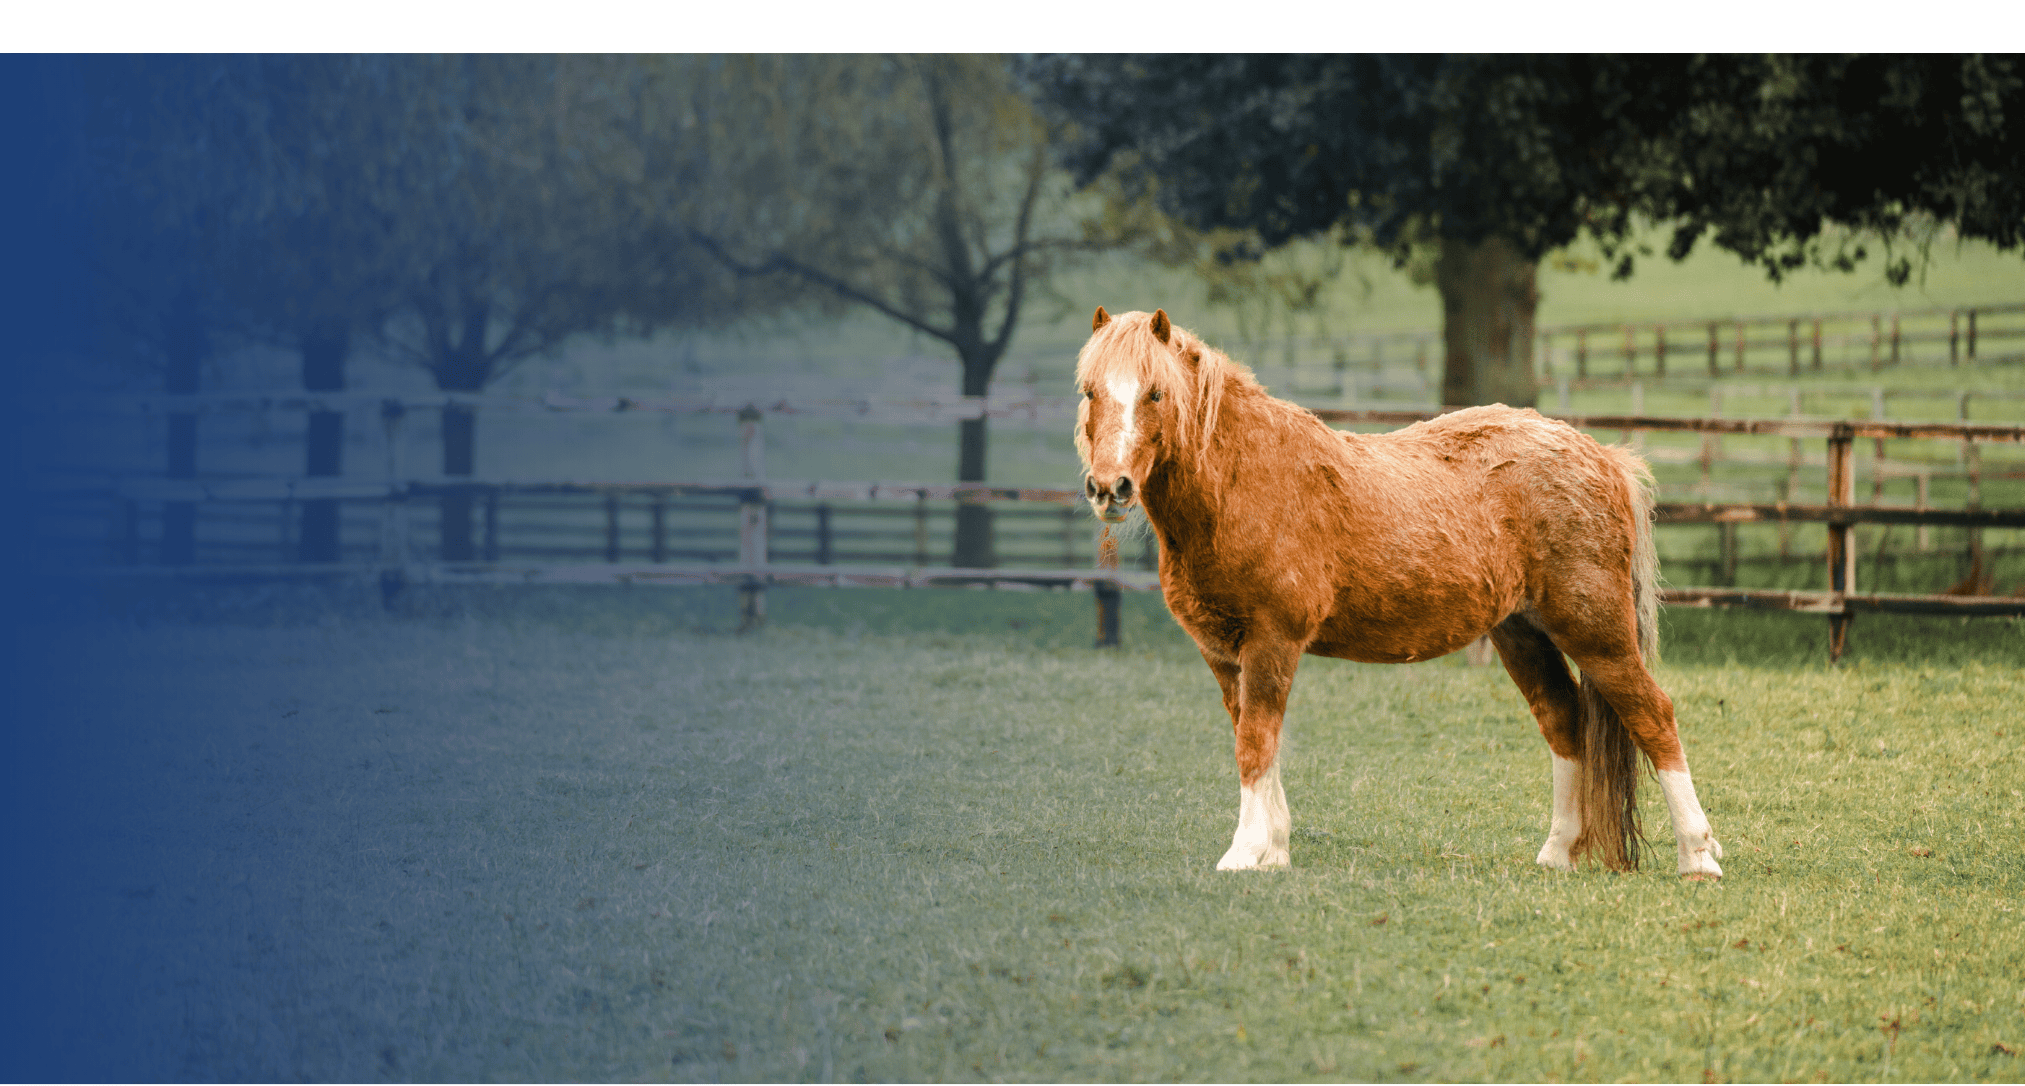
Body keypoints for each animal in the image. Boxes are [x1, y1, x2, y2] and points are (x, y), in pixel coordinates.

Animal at [1074, 307, 1723, 878]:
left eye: (1156, 393)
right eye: (1089, 391)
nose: (1110, 488)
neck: (1241, 482)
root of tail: (1602, 457)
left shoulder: (1272, 642)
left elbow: (1255, 745)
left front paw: (1245, 854)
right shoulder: (1224, 654)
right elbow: (1257, 743)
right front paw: (1274, 852)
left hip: (1597, 632)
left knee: (1653, 717)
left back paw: (1699, 856)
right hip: (1521, 633)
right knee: (1564, 721)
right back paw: (1557, 852)